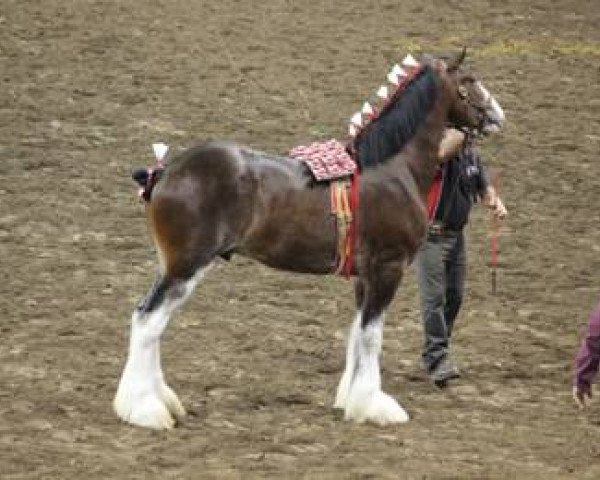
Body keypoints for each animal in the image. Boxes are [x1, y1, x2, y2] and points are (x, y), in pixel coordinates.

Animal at [113, 50, 506, 430]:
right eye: (469, 80)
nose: (497, 114)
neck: (393, 169)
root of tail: (165, 172)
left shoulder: (365, 275)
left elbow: (357, 333)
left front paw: (350, 401)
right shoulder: (388, 268)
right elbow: (372, 336)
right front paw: (375, 406)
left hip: (175, 266)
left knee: (149, 321)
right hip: (186, 266)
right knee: (148, 322)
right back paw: (146, 410)